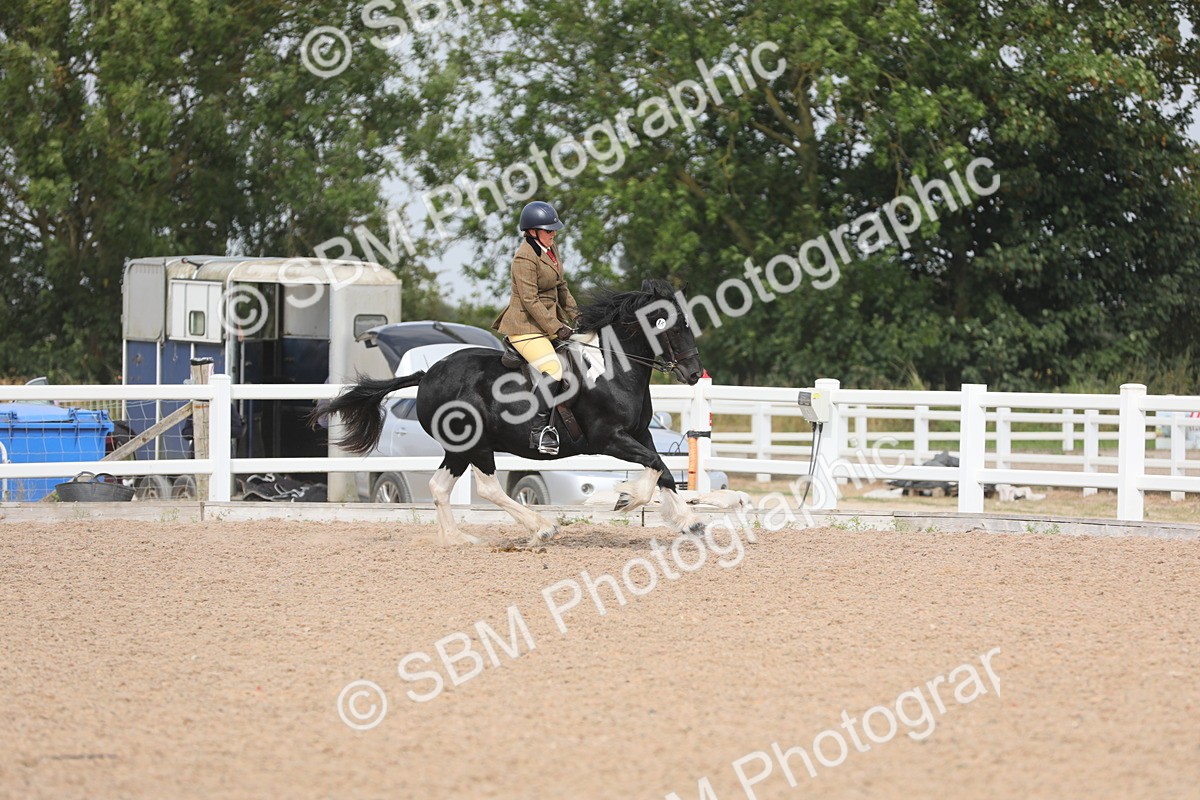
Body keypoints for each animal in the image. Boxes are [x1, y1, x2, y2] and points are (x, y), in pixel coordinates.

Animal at [316, 279, 708, 546]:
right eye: (675, 326)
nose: (693, 374)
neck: (612, 368)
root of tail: (428, 375)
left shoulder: (640, 433)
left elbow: (663, 470)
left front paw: (689, 521)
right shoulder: (609, 438)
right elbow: (654, 466)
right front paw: (627, 498)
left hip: (458, 450)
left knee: (439, 486)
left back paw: (457, 539)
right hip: (475, 444)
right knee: (488, 488)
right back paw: (542, 528)